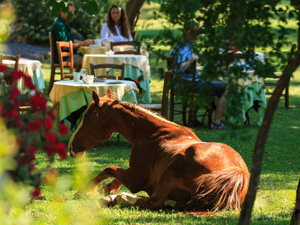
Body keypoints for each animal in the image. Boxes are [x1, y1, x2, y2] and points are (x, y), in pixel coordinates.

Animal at [68, 89, 251, 212]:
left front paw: (86, 190)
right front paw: (107, 188)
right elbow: (114, 175)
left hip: (169, 174)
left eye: (87, 118)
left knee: (153, 202)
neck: (153, 133)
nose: (71, 147)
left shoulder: (136, 179)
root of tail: (238, 172)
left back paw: (114, 199)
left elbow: (109, 169)